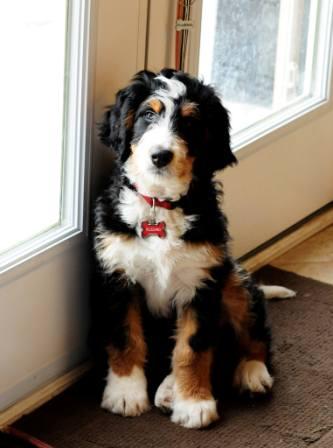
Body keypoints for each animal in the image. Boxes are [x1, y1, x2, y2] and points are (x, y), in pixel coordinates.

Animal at [91, 68, 294, 428]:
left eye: (190, 123)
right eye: (148, 115)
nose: (160, 156)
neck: (160, 204)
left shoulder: (202, 281)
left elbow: (192, 347)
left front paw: (194, 403)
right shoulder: (118, 274)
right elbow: (126, 336)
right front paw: (125, 393)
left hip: (232, 280)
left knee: (257, 337)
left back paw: (252, 374)